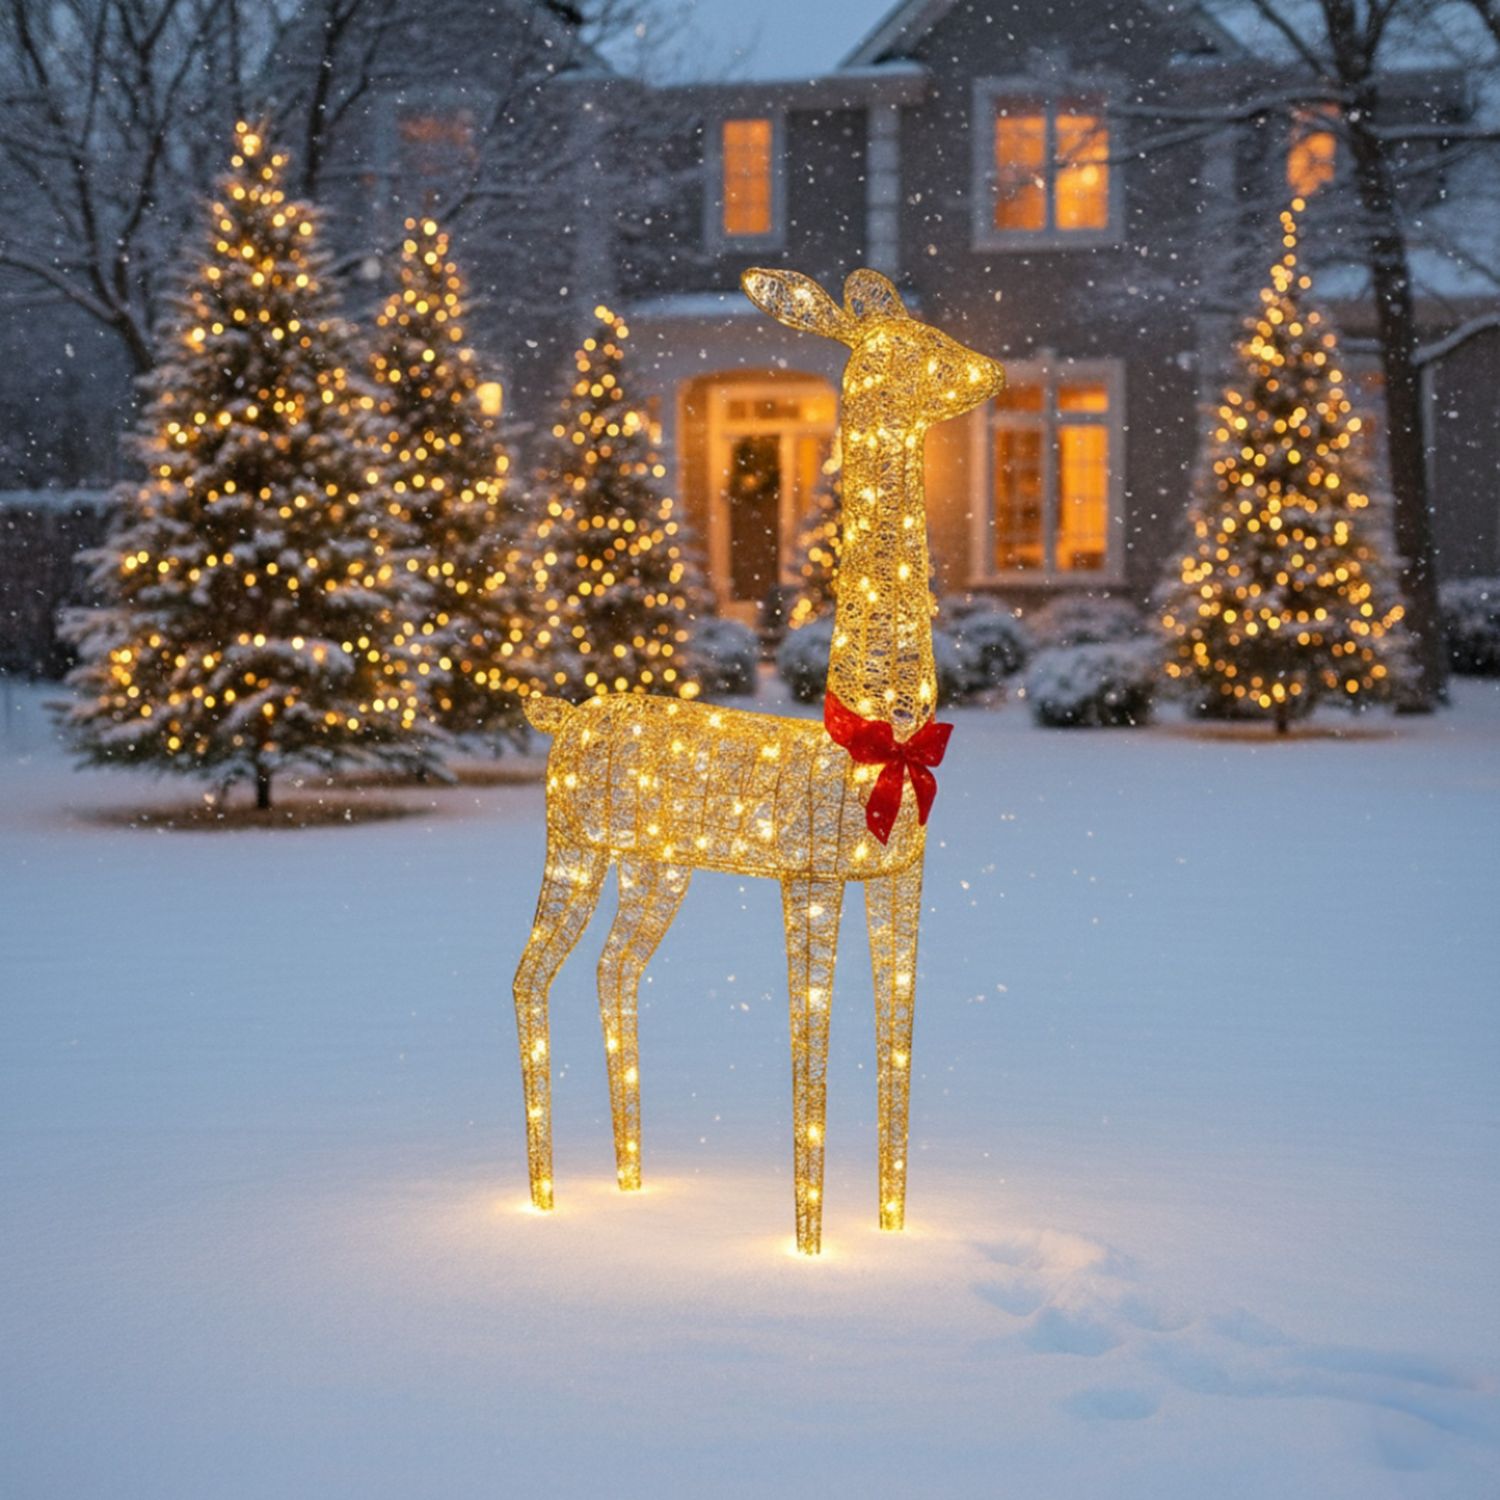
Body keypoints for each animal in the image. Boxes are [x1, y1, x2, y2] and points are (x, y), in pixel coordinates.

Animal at [512, 266, 1006, 1255]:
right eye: (916, 349)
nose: (992, 371)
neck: (879, 740)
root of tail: (563, 715)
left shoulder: (901, 880)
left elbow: (896, 1040)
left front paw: (893, 1230)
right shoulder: (808, 880)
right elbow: (810, 1052)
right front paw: (810, 1248)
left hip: (656, 871)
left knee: (612, 971)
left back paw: (630, 1182)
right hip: (571, 850)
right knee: (527, 979)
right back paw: (545, 1198)